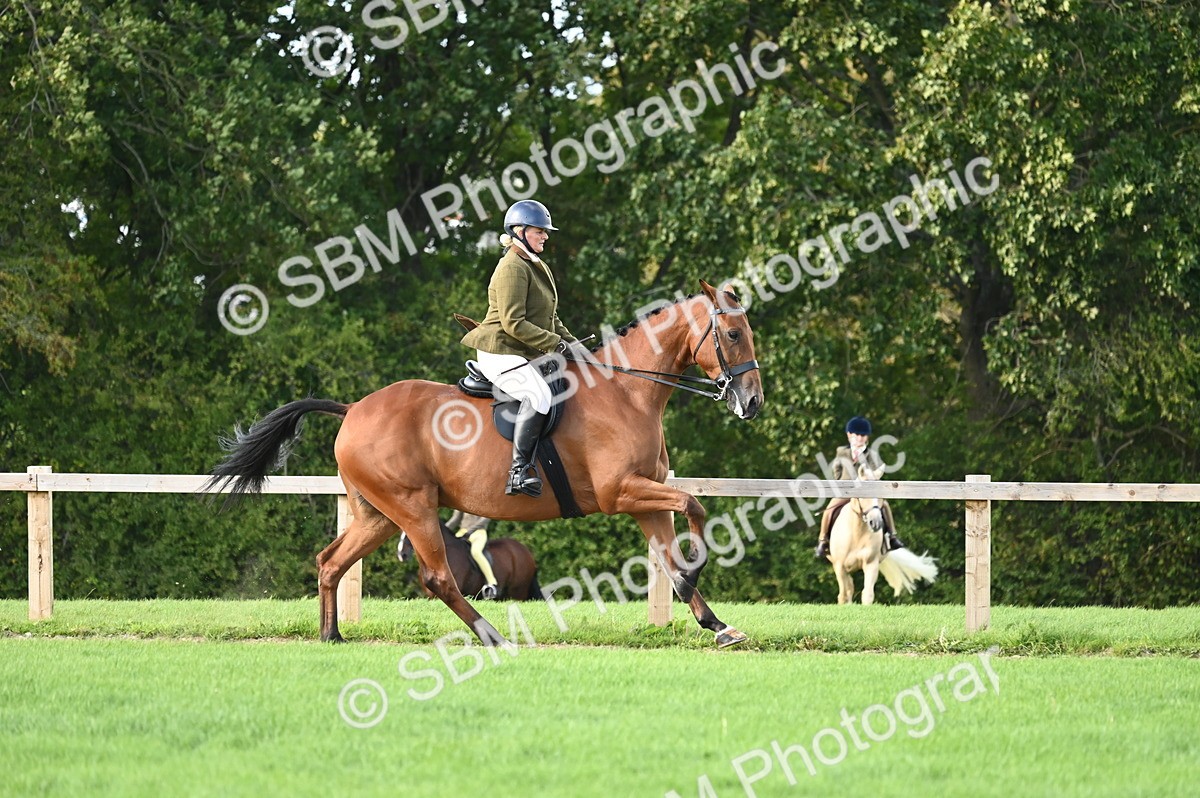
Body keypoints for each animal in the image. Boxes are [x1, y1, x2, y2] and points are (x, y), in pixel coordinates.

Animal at [828, 474, 938, 605]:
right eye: (863, 495)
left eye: (881, 497)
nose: (875, 522)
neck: (857, 533)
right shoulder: (840, 566)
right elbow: (844, 595)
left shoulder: (871, 563)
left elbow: (867, 594)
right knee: (848, 589)